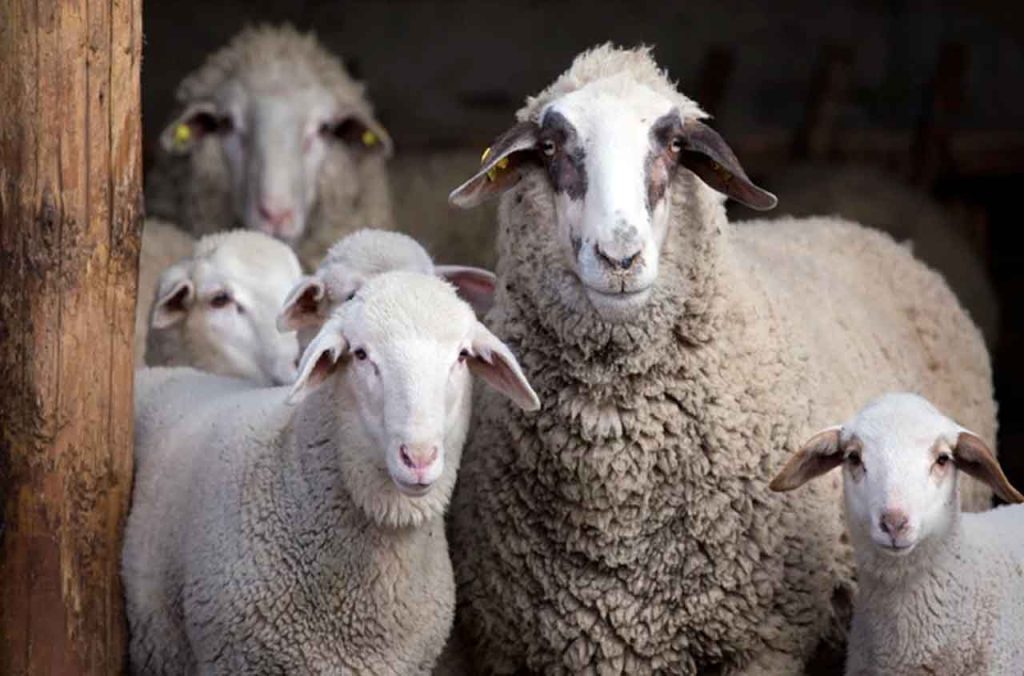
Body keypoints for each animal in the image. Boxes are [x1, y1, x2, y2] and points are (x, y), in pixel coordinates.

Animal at [445, 44, 995, 674]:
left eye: (673, 145)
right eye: (553, 147)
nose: (620, 258)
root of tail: (875, 236)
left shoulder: (766, 642)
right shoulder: (507, 646)